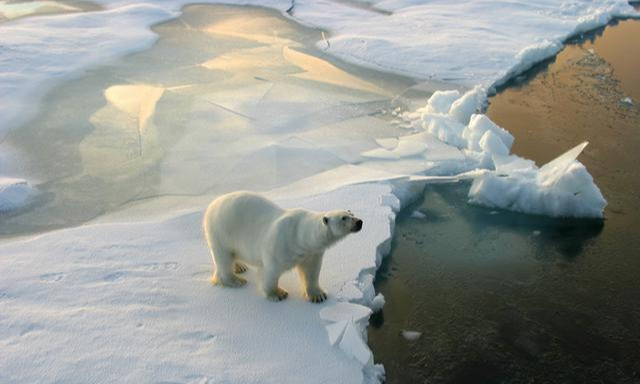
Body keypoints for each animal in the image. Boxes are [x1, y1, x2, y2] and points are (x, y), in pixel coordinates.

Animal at [205, 192, 364, 304]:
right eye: (343, 218)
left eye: (352, 213)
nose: (359, 222)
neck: (299, 235)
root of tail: (211, 205)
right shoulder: (279, 246)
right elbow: (270, 272)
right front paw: (278, 294)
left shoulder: (312, 252)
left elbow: (311, 272)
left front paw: (318, 295)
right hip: (222, 231)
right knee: (224, 257)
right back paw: (235, 280)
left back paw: (240, 266)